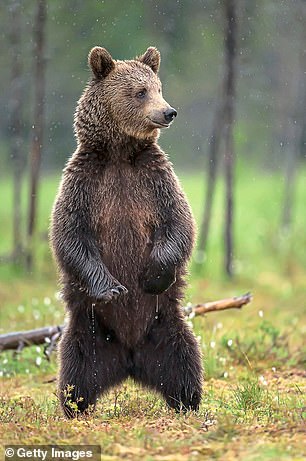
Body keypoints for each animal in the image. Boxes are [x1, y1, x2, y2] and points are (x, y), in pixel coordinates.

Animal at [49, 46, 203, 416]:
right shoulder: (84, 182)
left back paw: (187, 402)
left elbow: (178, 224)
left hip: (165, 324)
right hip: (89, 332)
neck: (120, 152)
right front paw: (115, 289)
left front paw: (151, 275)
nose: (168, 112)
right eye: (140, 91)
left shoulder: (154, 179)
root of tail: (130, 359)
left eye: (159, 87)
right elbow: (71, 236)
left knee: (185, 360)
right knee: (76, 371)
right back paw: (75, 406)